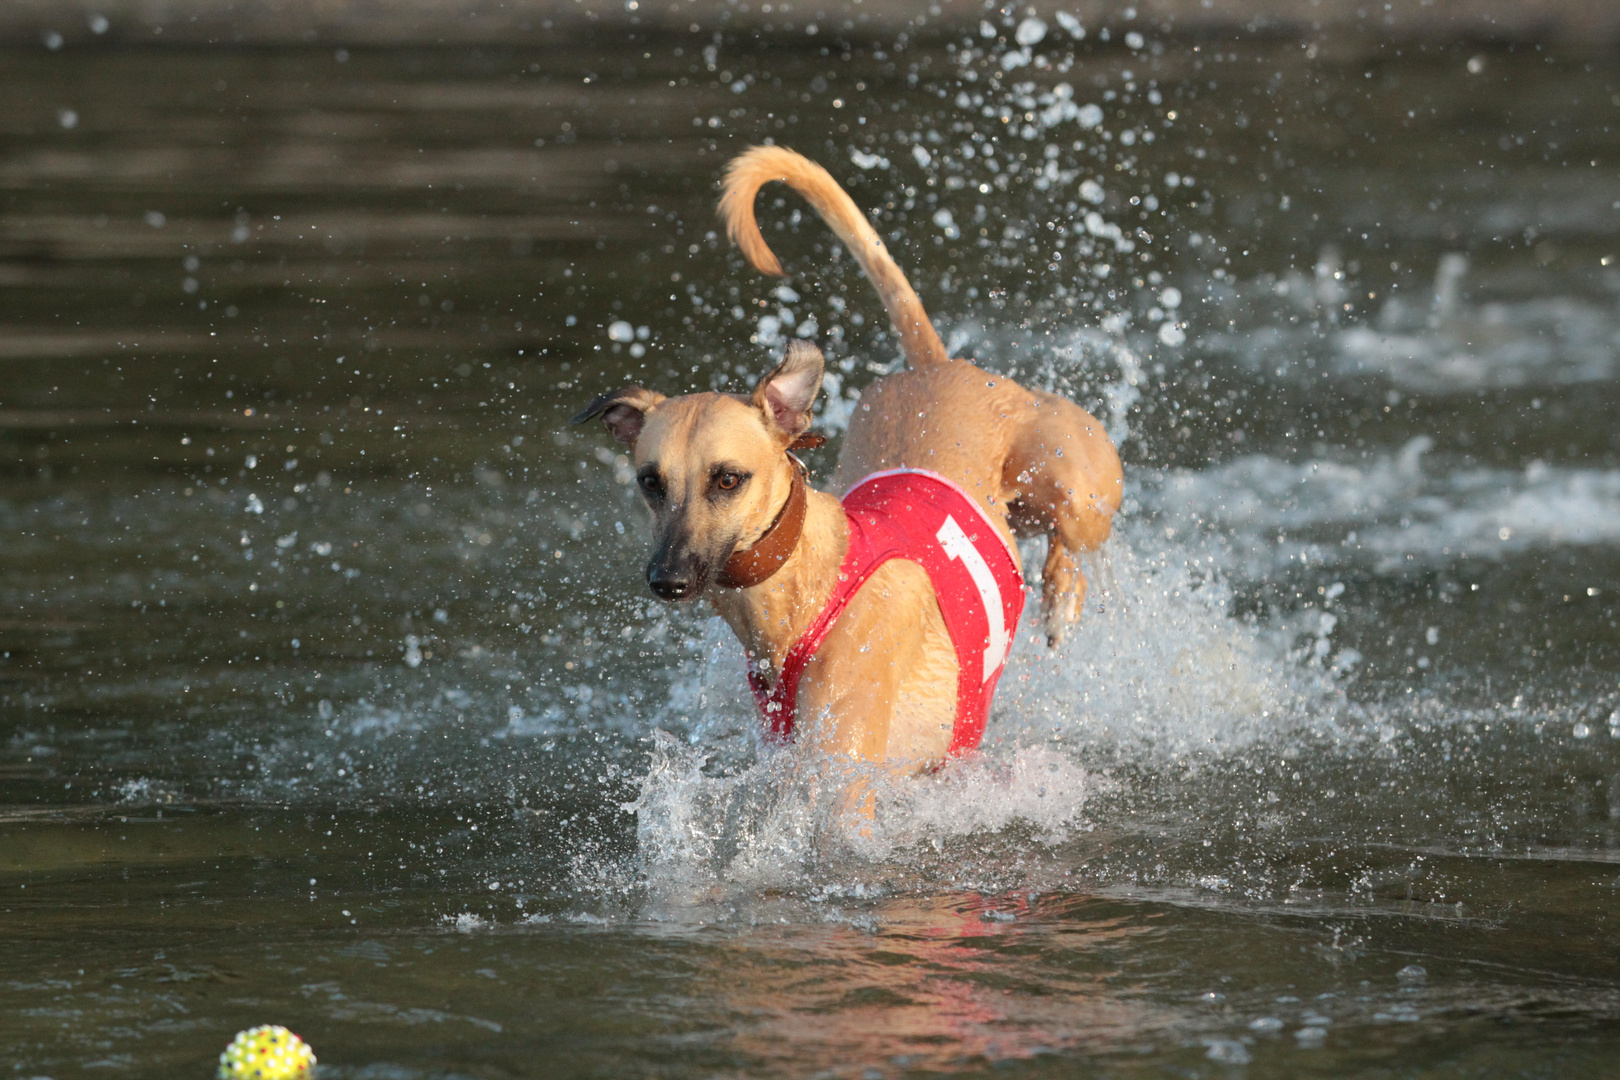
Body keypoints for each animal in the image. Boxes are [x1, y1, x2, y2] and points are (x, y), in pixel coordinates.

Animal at [576, 148, 1121, 780]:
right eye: (649, 482)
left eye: (728, 478)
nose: (668, 580)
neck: (812, 591)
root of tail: (936, 365)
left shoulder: (847, 779)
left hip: (1074, 487)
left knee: (1073, 543)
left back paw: (1061, 601)